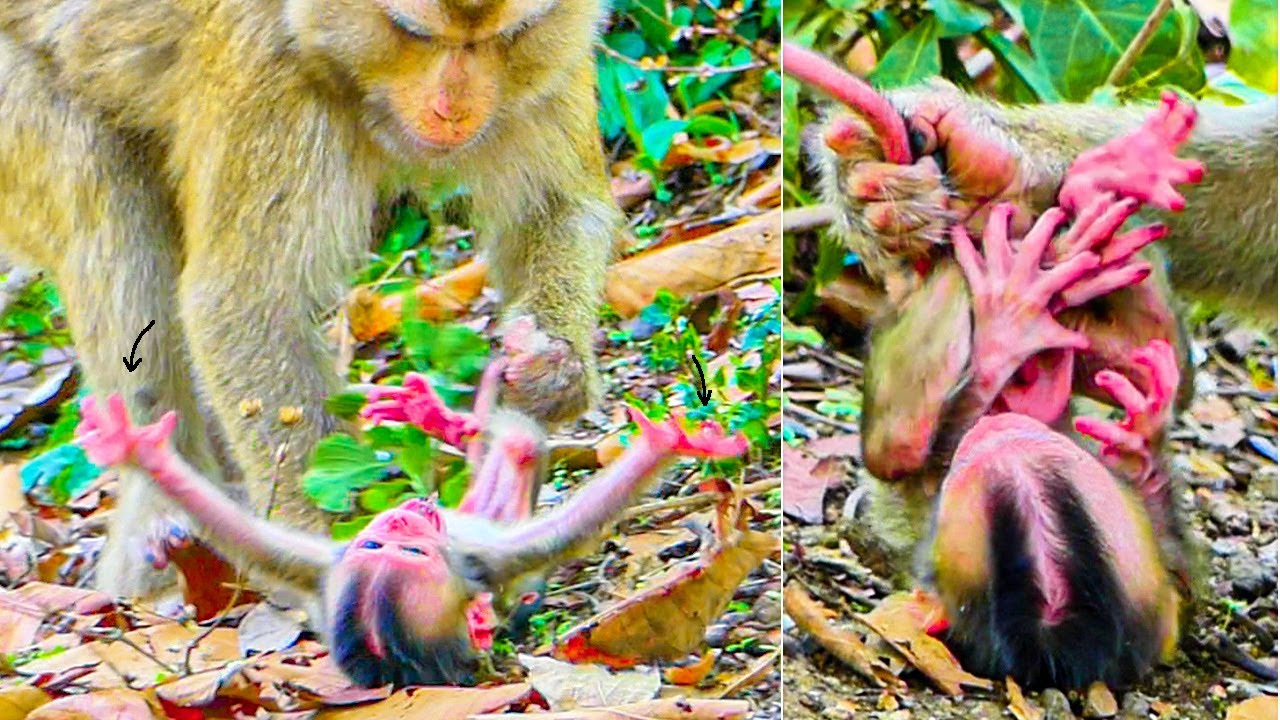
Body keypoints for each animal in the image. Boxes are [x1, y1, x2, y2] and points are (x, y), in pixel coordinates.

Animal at [0, 0, 623, 599]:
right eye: (413, 33)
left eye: (506, 37)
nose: (453, 110)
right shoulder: (265, 71)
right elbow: (240, 300)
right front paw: (342, 557)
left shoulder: (547, 59)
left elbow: (558, 209)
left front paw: (551, 369)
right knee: (108, 207)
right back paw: (166, 512)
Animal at [74, 361, 750, 687]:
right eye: (410, 555)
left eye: (384, 541)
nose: (405, 515)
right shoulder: (475, 568)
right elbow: (569, 529)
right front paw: (664, 444)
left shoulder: (327, 565)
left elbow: (250, 538)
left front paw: (141, 452)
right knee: (521, 453)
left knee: (500, 455)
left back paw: (444, 419)